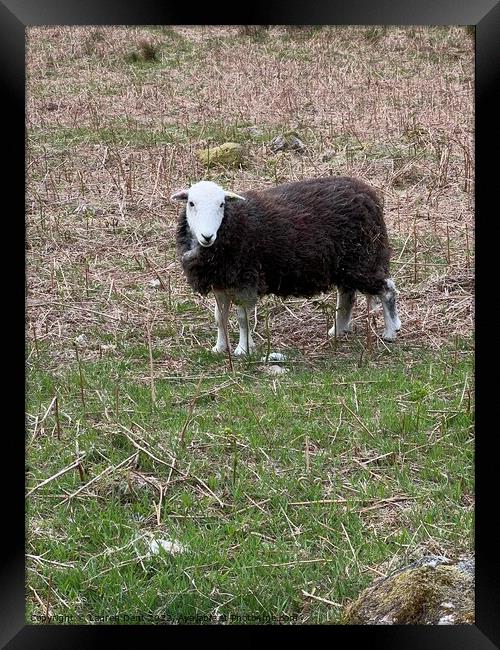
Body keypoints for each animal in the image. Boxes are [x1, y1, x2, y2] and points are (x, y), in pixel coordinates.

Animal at [172, 176, 402, 354]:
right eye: (191, 203)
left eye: (221, 204)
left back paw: (390, 332)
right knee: (347, 295)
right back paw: (338, 330)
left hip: (363, 259)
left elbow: (242, 319)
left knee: (387, 289)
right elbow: (220, 317)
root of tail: (368, 193)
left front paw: (243, 350)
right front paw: (220, 348)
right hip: (346, 264)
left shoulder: (247, 280)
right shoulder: (220, 282)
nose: (207, 236)